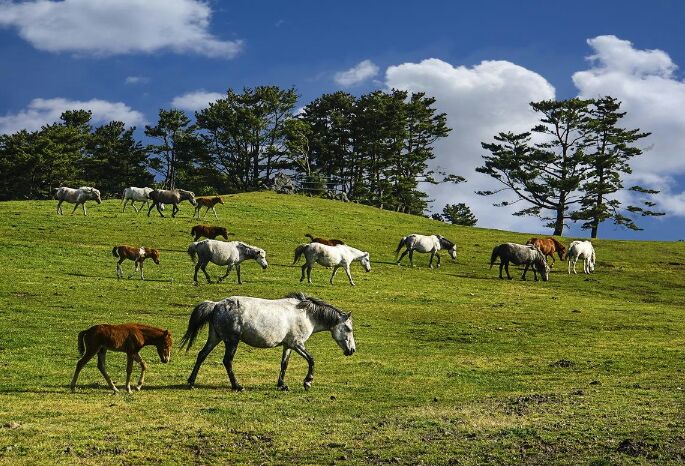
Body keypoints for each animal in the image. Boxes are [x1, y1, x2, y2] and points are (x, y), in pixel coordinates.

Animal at [179, 294, 356, 392]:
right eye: (348, 328)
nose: (352, 350)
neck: (306, 314)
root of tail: (216, 305)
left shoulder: (288, 346)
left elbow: (284, 364)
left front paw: (282, 385)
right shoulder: (297, 344)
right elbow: (311, 360)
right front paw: (308, 382)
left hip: (215, 338)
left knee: (201, 355)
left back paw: (191, 382)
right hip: (231, 341)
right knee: (227, 361)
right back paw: (237, 386)